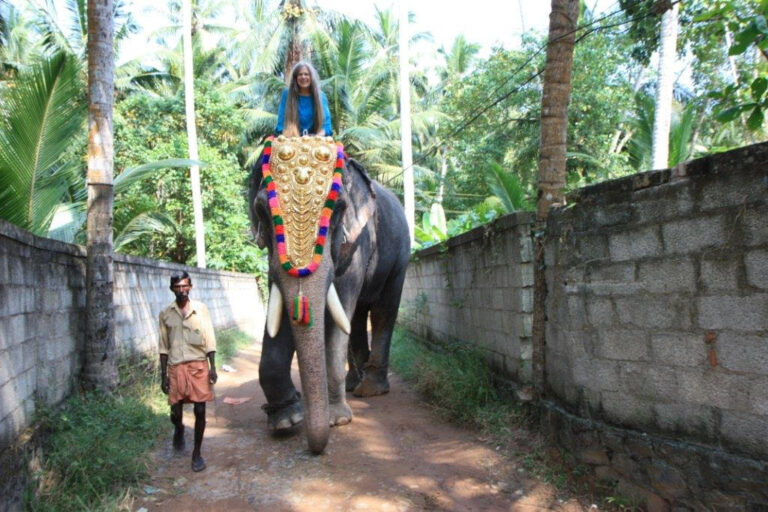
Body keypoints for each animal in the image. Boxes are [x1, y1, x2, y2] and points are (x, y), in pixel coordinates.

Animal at [249, 135, 410, 454]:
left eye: (337, 209)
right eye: (262, 210)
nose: (315, 449)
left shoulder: (357, 240)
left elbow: (339, 313)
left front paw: (337, 420)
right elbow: (284, 312)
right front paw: (287, 421)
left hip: (400, 256)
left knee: (382, 311)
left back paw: (370, 391)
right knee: (358, 317)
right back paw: (353, 385)